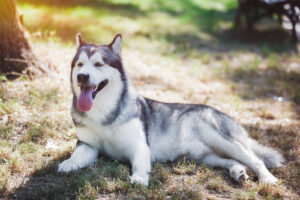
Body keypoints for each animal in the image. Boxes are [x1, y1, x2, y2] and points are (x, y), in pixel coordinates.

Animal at [58, 33, 284, 186]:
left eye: (98, 64)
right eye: (80, 65)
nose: (82, 77)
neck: (103, 113)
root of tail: (227, 115)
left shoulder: (139, 145)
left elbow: (139, 163)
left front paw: (139, 178)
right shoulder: (88, 145)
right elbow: (77, 155)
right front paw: (68, 163)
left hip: (220, 138)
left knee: (255, 159)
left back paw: (267, 178)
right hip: (205, 156)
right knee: (233, 160)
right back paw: (238, 171)